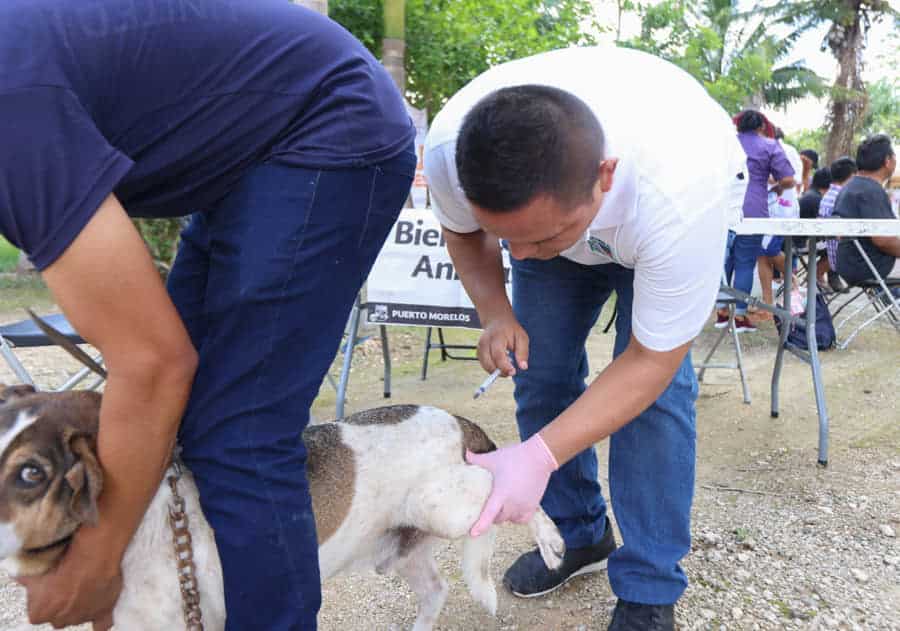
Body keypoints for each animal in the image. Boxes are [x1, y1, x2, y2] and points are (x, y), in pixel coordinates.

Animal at [0, 386, 564, 631]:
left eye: (31, 474)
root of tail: (452, 418)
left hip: (447, 504)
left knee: (503, 489)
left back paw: (550, 545)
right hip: (402, 552)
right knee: (435, 590)